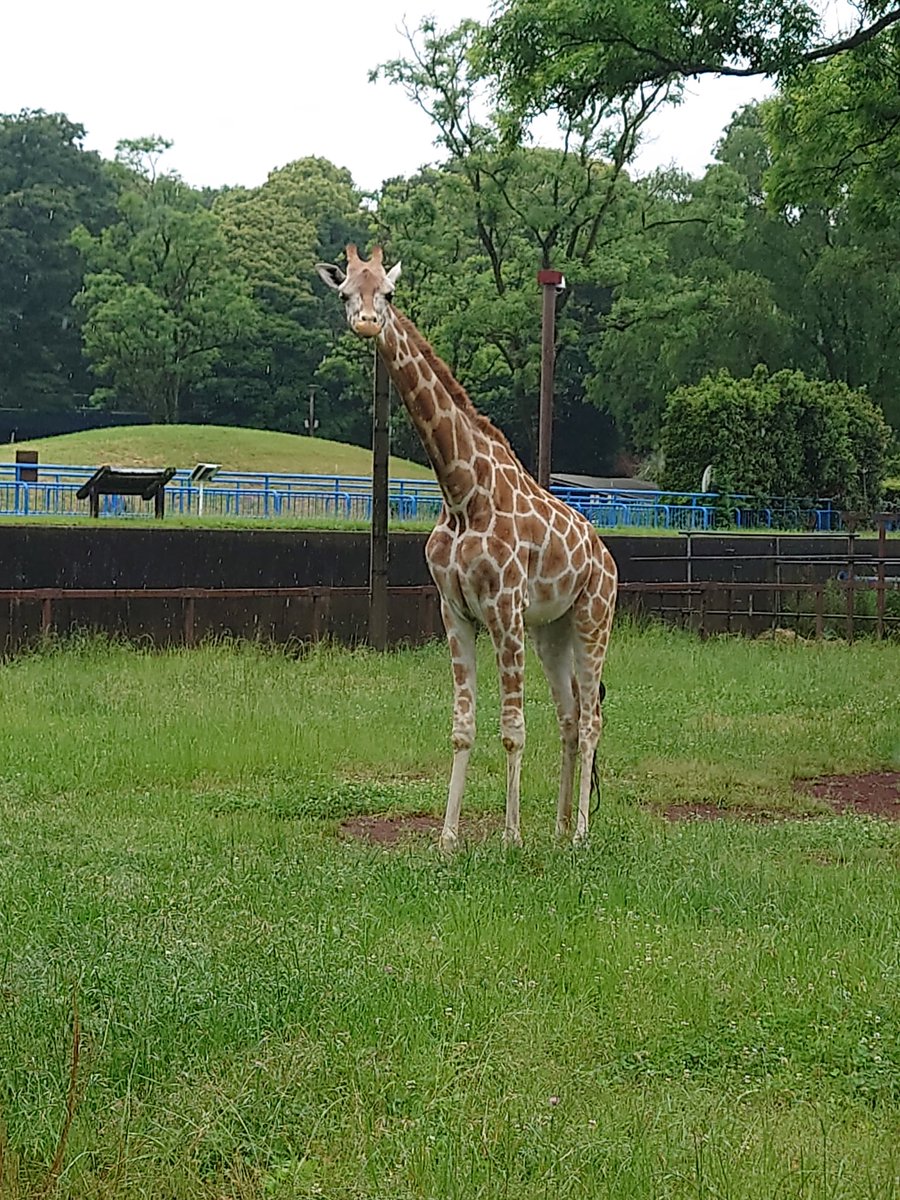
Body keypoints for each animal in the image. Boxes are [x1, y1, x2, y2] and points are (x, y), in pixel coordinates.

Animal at [316, 243, 619, 849]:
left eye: (388, 293)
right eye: (345, 293)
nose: (367, 322)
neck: (460, 492)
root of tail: (607, 556)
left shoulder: (503, 609)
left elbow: (512, 729)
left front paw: (510, 837)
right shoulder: (455, 612)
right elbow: (462, 728)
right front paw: (449, 839)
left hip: (594, 617)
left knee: (590, 717)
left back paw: (578, 833)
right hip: (552, 629)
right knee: (569, 715)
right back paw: (557, 828)